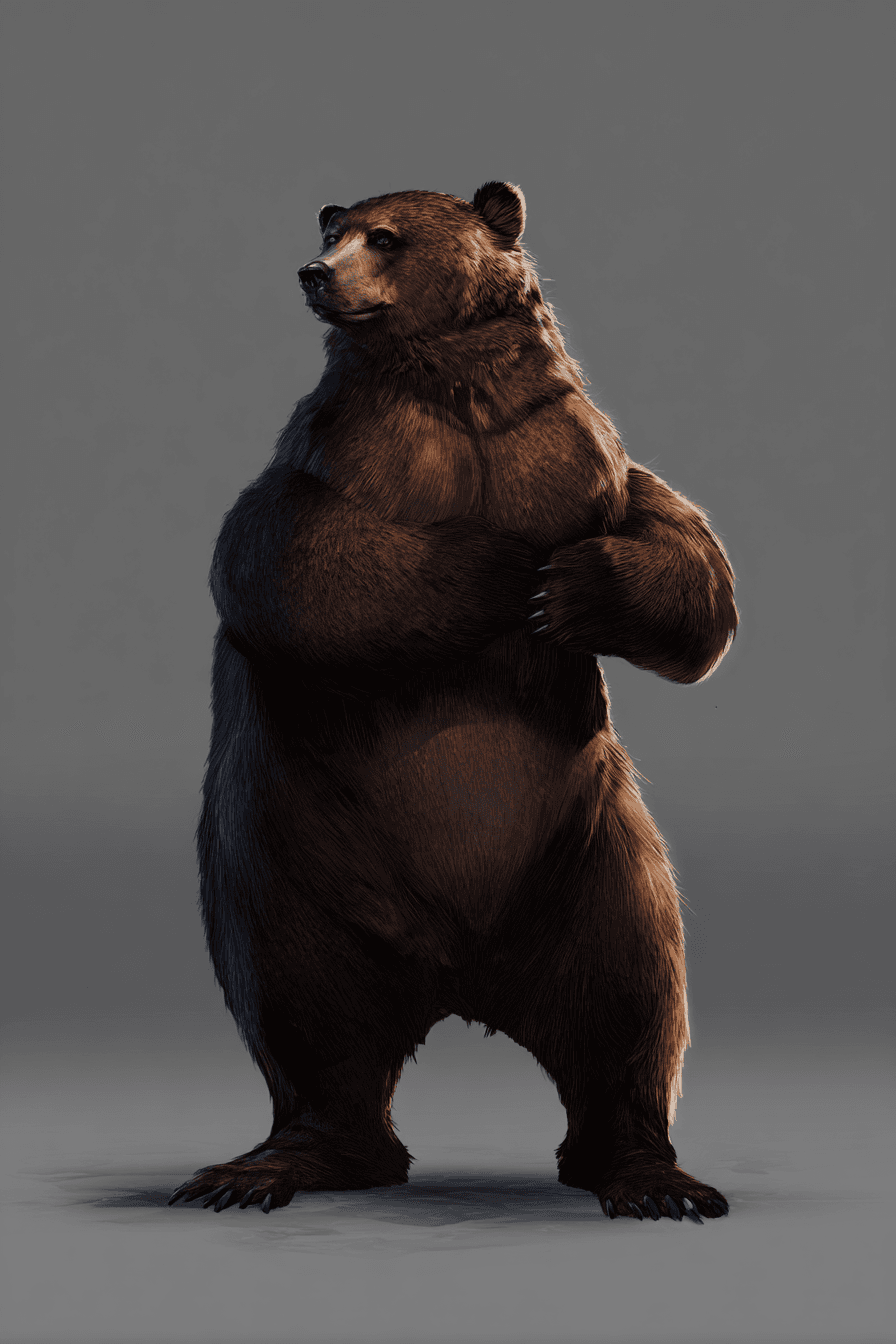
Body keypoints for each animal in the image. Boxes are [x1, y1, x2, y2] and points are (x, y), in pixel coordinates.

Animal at [169, 181, 737, 1223]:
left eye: (384, 237)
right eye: (334, 230)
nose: (315, 273)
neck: (449, 386)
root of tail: (462, 974)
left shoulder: (589, 455)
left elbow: (687, 563)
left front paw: (569, 585)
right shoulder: (325, 456)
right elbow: (289, 563)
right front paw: (503, 566)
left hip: (596, 868)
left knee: (632, 1002)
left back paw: (651, 1176)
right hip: (293, 866)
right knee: (303, 1011)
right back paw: (267, 1167)